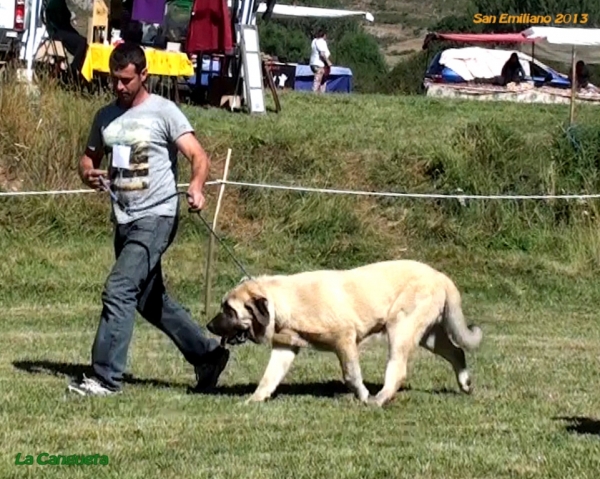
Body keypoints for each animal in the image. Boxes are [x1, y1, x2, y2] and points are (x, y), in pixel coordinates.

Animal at [206, 260, 482, 406]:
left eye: (228, 310)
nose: (208, 326)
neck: (284, 301)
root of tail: (441, 276)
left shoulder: (345, 340)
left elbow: (351, 374)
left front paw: (363, 396)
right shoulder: (285, 348)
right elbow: (268, 377)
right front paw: (254, 399)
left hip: (400, 329)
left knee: (398, 370)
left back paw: (379, 399)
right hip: (429, 336)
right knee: (457, 352)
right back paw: (465, 383)